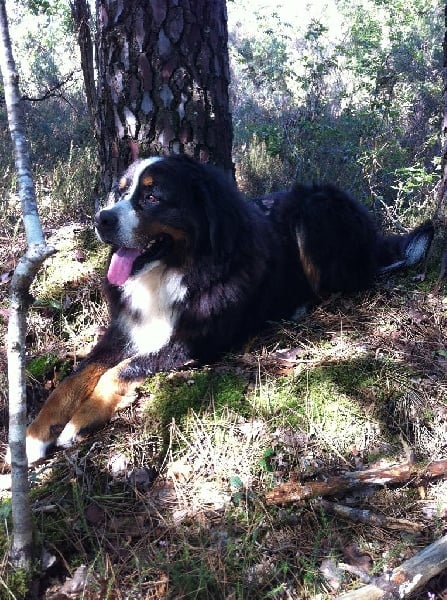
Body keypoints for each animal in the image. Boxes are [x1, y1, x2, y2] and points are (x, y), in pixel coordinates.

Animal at [15, 154, 433, 463]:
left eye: (153, 197)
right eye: (119, 191)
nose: (101, 219)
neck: (176, 271)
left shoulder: (194, 342)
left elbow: (118, 371)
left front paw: (80, 421)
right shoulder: (126, 329)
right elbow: (76, 376)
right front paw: (34, 434)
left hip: (313, 212)